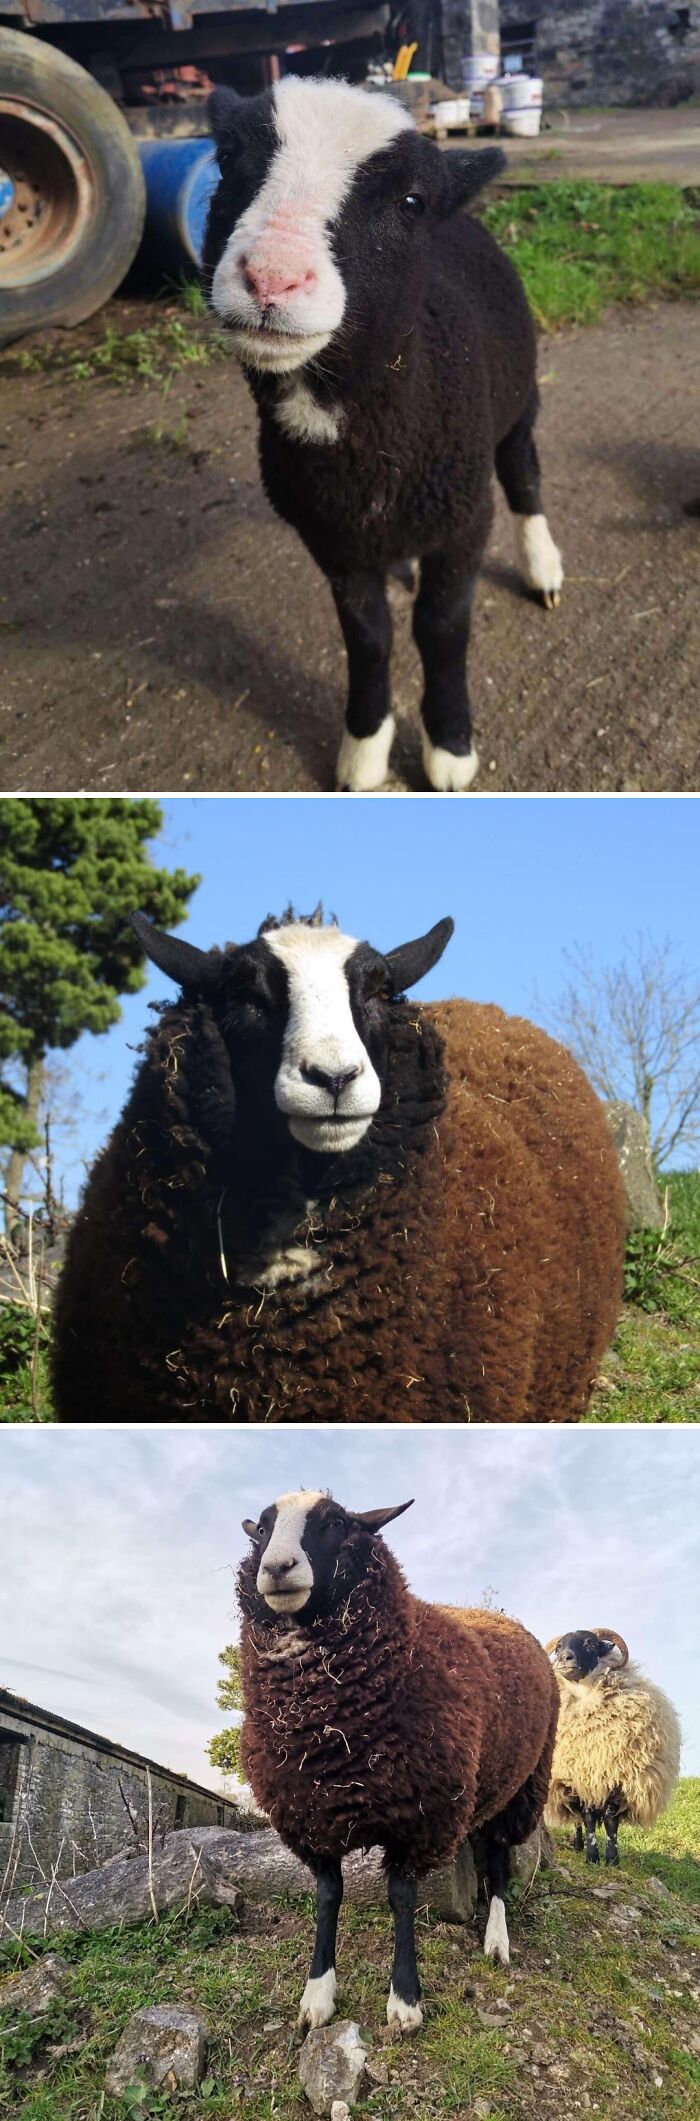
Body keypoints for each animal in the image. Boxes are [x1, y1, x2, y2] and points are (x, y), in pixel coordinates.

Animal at [202, 76, 563, 794]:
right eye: (226, 162)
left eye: (411, 201)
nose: (272, 278)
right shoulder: (332, 541)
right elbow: (369, 638)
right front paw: (364, 748)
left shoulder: (464, 518)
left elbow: (442, 628)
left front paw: (449, 746)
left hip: (516, 402)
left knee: (524, 474)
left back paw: (543, 566)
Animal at [237, 1489, 561, 2032]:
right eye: (261, 1529)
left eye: (337, 1522)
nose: (278, 1567)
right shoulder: (311, 1816)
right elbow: (329, 1897)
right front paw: (317, 1994)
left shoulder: (419, 1816)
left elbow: (401, 1898)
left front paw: (405, 2000)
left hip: (524, 1787)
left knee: (499, 1862)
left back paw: (497, 1940)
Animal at [544, 1630, 681, 1866]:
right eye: (558, 1647)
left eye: (590, 1643)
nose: (564, 1658)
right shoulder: (580, 1778)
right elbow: (589, 1818)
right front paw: (591, 1856)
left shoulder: (616, 1778)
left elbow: (611, 1820)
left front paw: (612, 1859)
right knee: (577, 1820)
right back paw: (578, 1846)